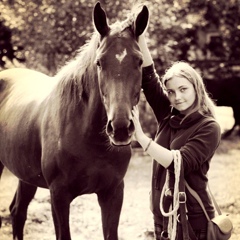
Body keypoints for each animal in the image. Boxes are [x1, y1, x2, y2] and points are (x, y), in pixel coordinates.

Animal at [0, 2, 149, 240]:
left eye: (139, 61)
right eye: (99, 62)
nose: (120, 128)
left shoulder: (113, 193)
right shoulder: (59, 196)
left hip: (26, 176)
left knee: (18, 211)